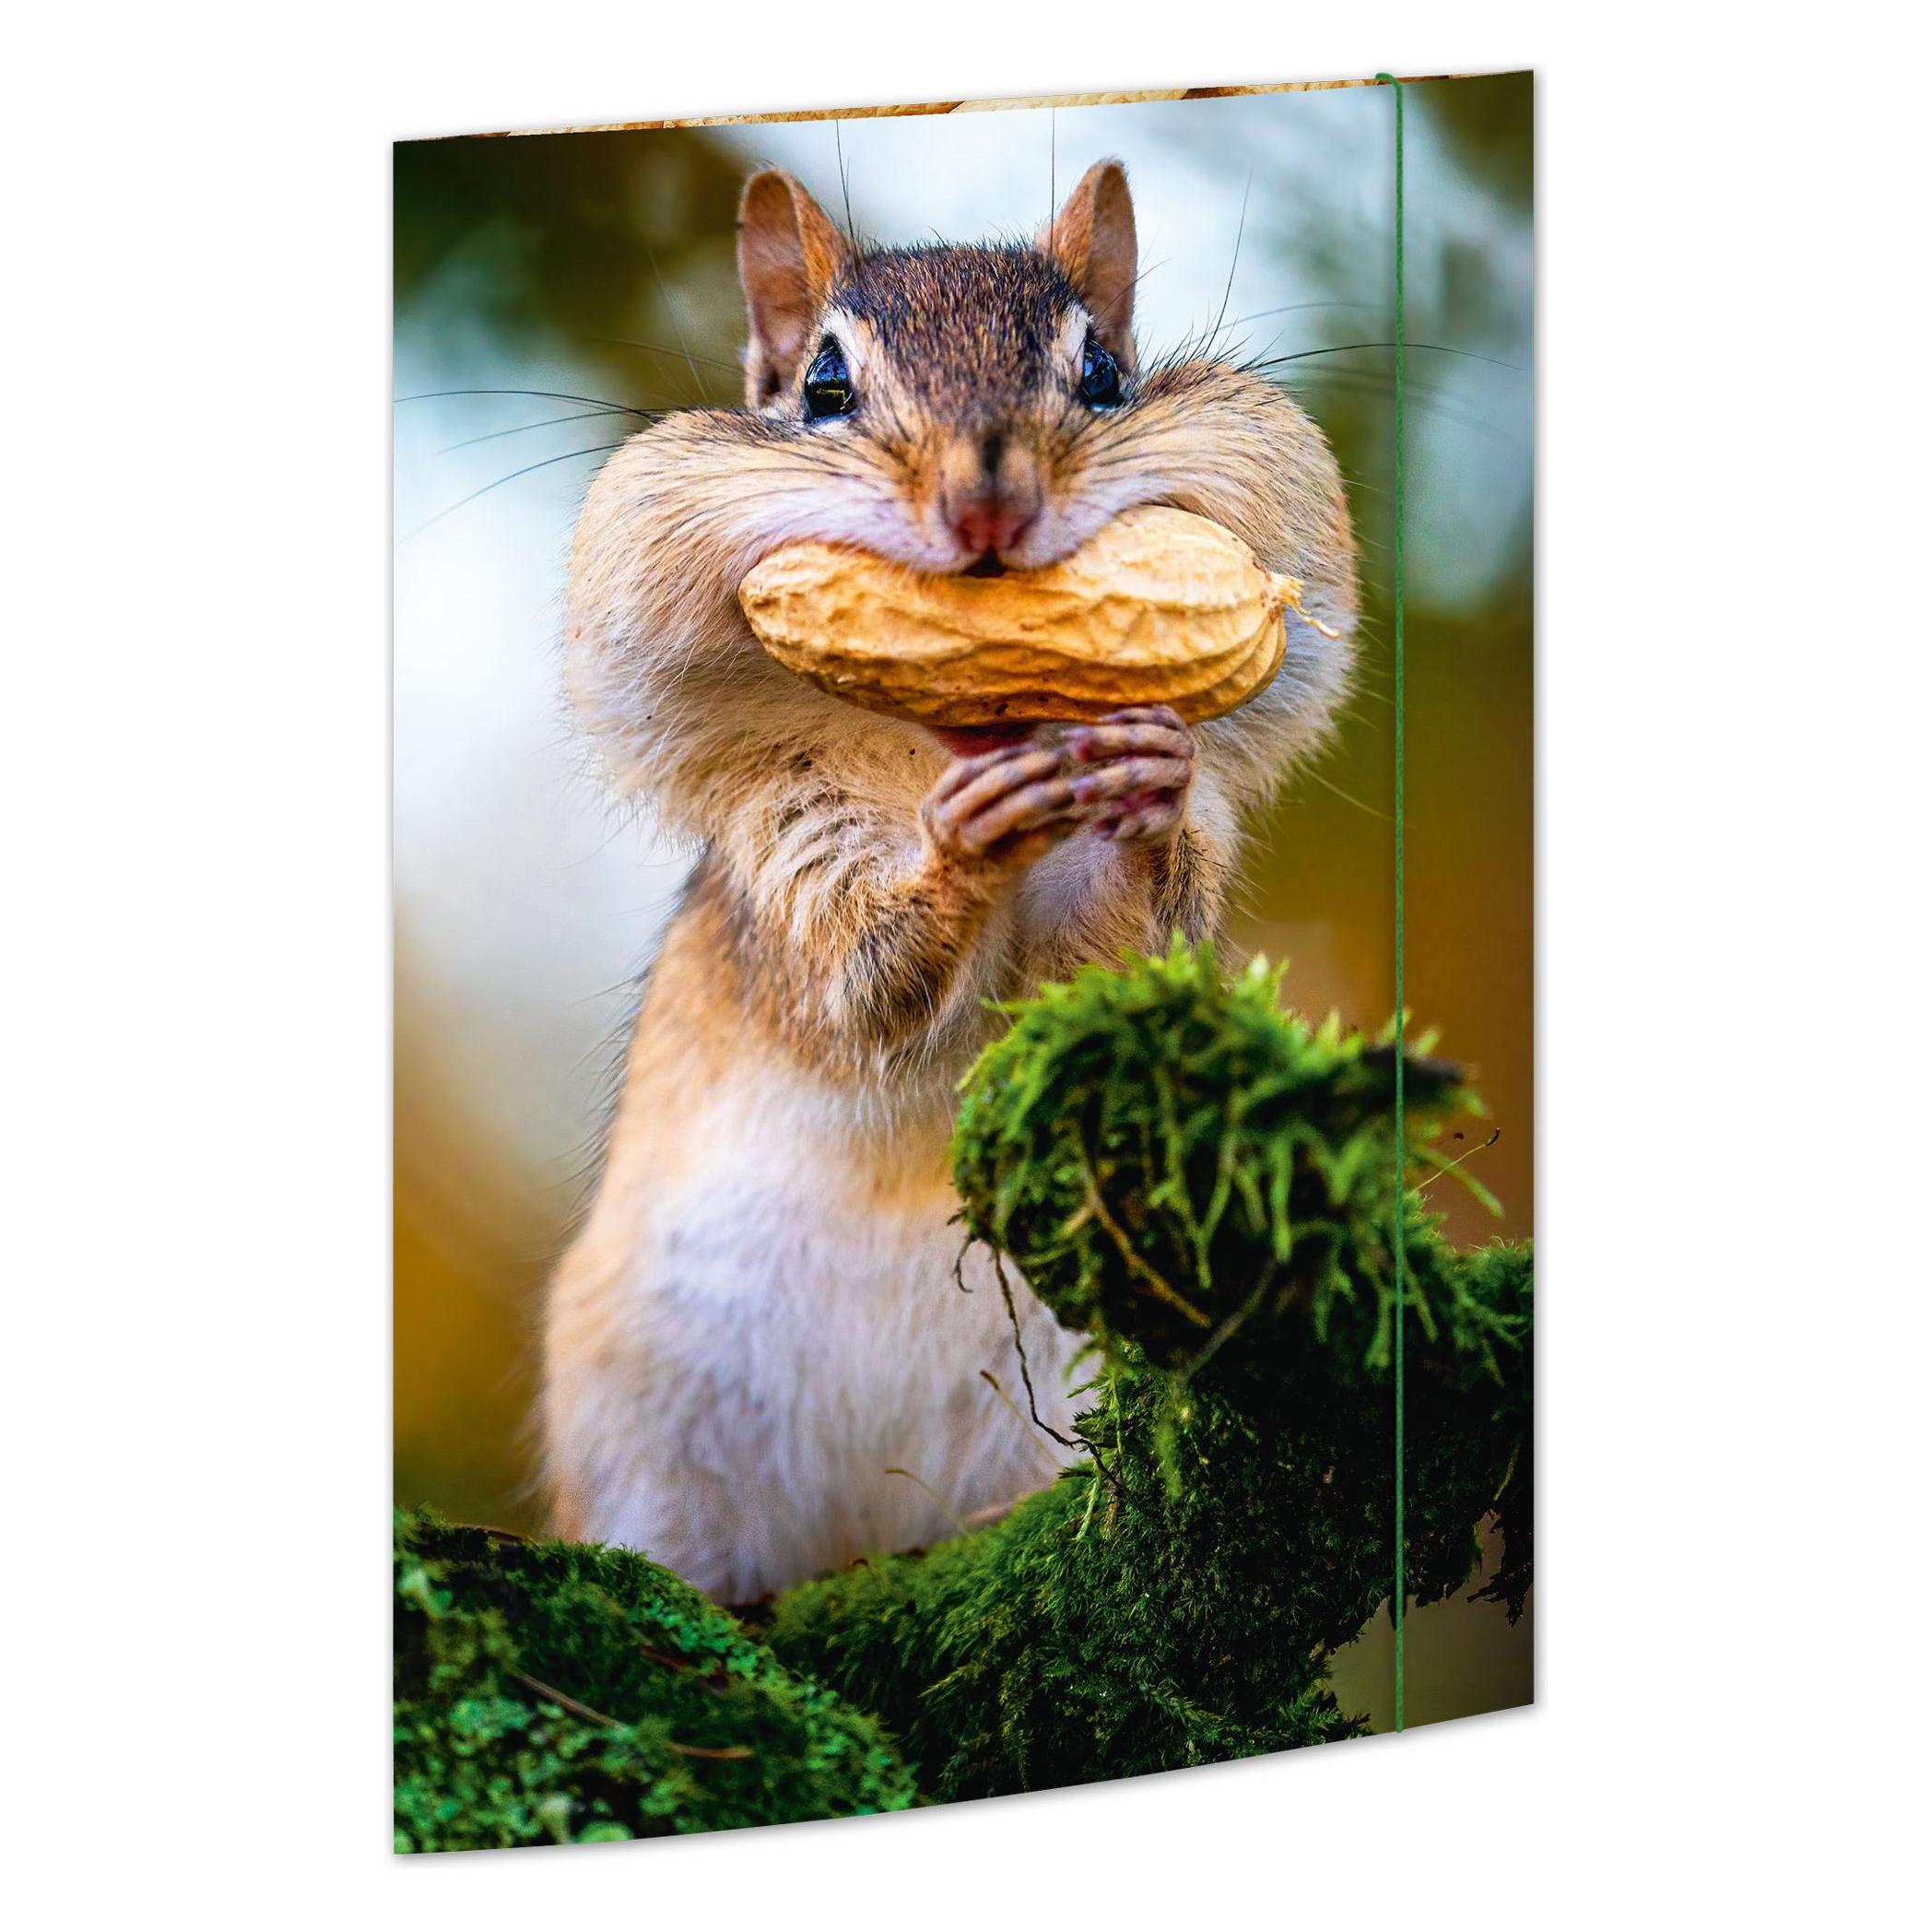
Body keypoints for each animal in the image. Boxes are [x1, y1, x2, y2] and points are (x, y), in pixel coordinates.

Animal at [543, 159, 1358, 1604]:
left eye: (1102, 372)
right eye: (822, 383)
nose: (988, 508)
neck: (941, 741)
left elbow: (1121, 959)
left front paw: (1146, 785)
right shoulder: (784, 843)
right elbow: (862, 988)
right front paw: (961, 847)